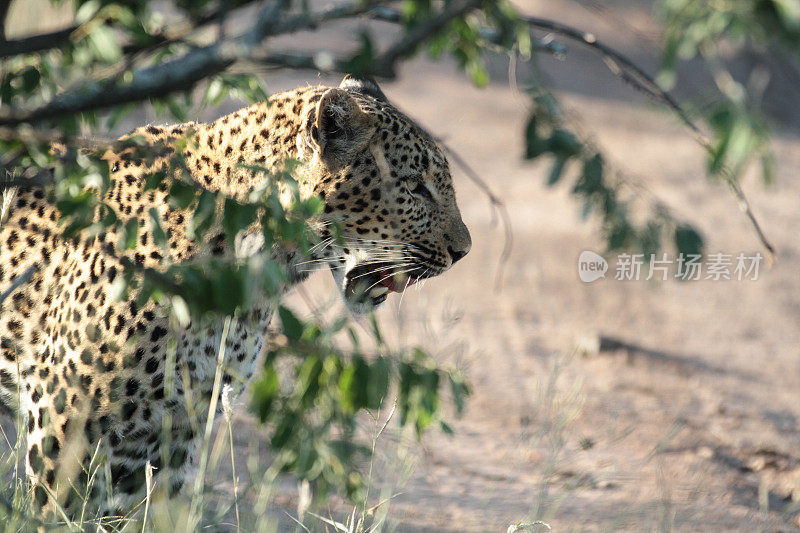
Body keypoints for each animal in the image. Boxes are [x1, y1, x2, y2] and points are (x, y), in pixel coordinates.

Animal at [0, 76, 468, 520]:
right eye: (416, 188)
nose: (463, 251)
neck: (258, 272)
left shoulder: (178, 432)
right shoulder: (65, 420)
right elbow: (55, 513)